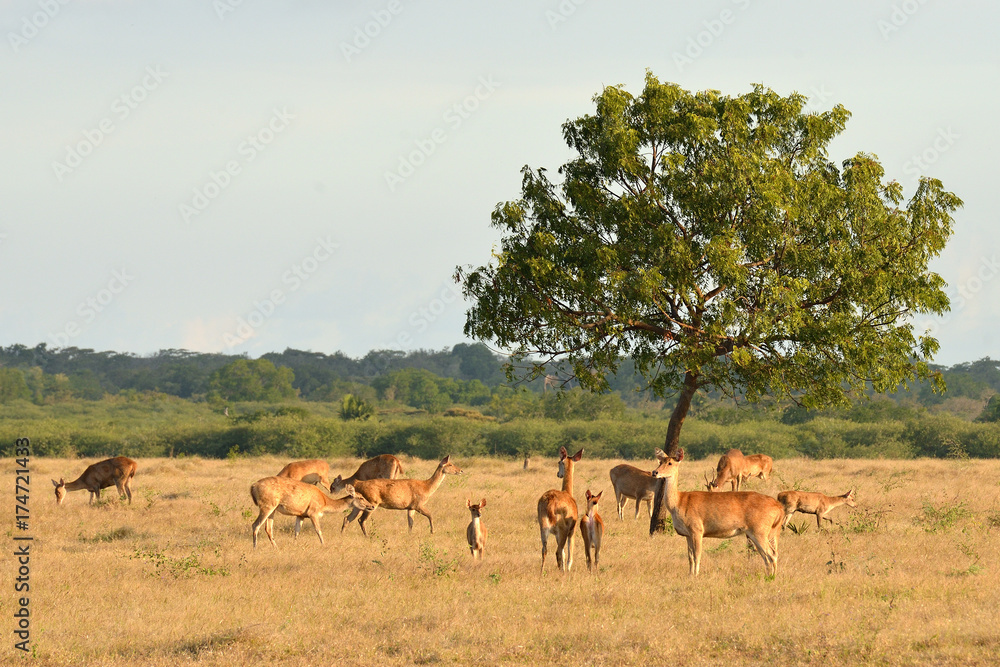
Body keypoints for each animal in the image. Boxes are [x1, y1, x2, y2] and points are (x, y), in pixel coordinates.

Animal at [652, 449, 784, 576]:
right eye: (660, 461)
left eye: (670, 463)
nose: (655, 472)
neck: (679, 502)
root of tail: (779, 507)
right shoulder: (687, 534)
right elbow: (690, 557)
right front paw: (690, 575)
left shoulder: (697, 530)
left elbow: (697, 556)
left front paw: (696, 576)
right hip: (760, 533)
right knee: (767, 555)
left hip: (759, 531)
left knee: (772, 554)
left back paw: (772, 577)